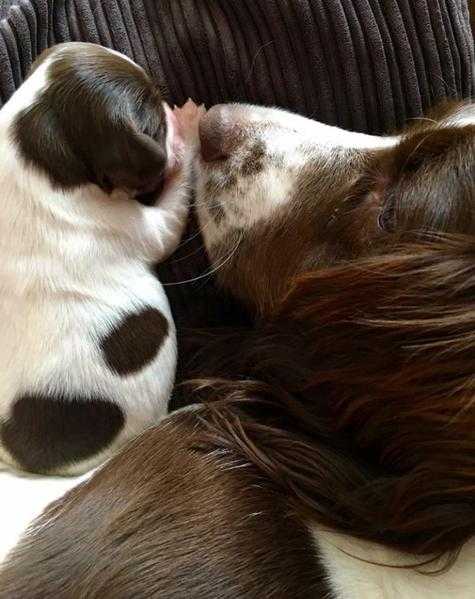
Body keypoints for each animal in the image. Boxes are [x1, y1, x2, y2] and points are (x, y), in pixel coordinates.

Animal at [0, 42, 201, 476]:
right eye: (153, 124)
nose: (167, 109)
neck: (35, 153)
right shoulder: (141, 227)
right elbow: (174, 199)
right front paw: (187, 129)